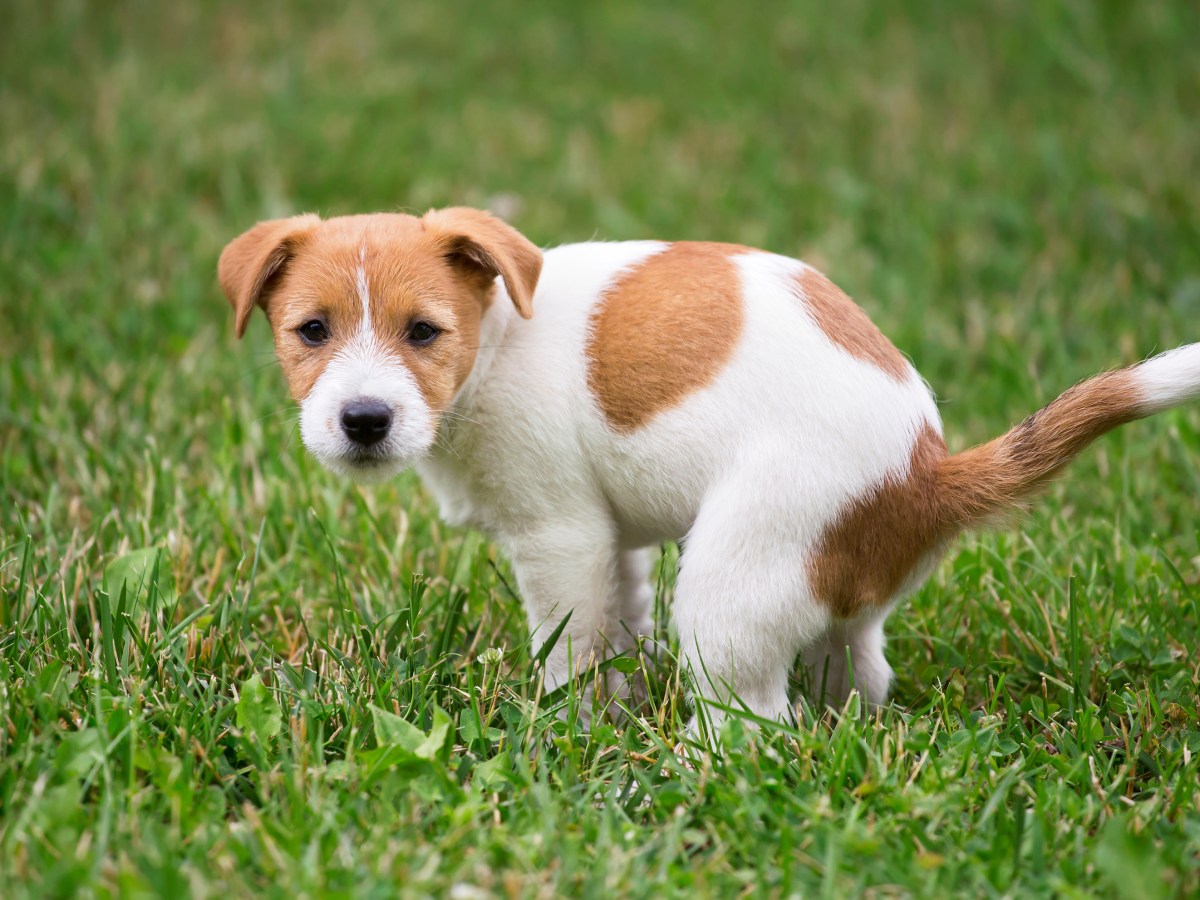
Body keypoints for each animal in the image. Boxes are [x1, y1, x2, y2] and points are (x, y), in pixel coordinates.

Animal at [218, 210, 1200, 734]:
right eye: (311, 331)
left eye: (424, 332)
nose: (364, 420)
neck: (496, 340)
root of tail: (927, 473)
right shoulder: (609, 543)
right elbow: (617, 624)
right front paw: (614, 704)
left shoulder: (559, 536)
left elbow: (570, 648)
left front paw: (573, 730)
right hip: (830, 591)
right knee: (854, 674)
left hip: (732, 584)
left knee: (755, 721)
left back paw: (694, 763)